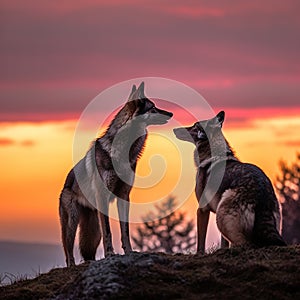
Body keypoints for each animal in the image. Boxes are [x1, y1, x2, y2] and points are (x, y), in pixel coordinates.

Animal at [59, 82, 172, 264]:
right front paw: (110, 254)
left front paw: (130, 252)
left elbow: (125, 230)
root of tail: (65, 184)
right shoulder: (103, 196)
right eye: (153, 108)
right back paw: (71, 265)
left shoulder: (124, 196)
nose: (171, 113)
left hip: (93, 230)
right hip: (72, 223)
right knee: (68, 251)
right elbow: (109, 231)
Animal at [172, 111, 284, 252]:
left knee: (246, 245)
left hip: (221, 217)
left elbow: (200, 243)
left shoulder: (202, 209)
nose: (174, 130)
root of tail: (261, 194)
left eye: (194, 127)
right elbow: (223, 242)